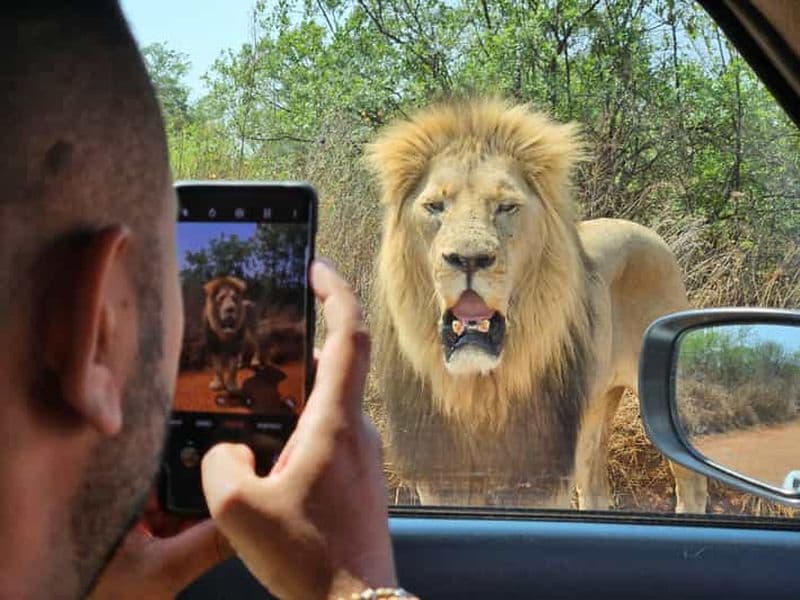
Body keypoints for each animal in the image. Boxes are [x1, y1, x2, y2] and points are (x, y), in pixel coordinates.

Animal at [366, 98, 707, 512]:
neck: (479, 388)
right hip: (594, 409)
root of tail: (647, 232)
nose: (469, 259)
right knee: (595, 486)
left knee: (692, 480)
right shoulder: (441, 475)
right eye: (434, 206)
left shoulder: (539, 474)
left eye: (506, 206)